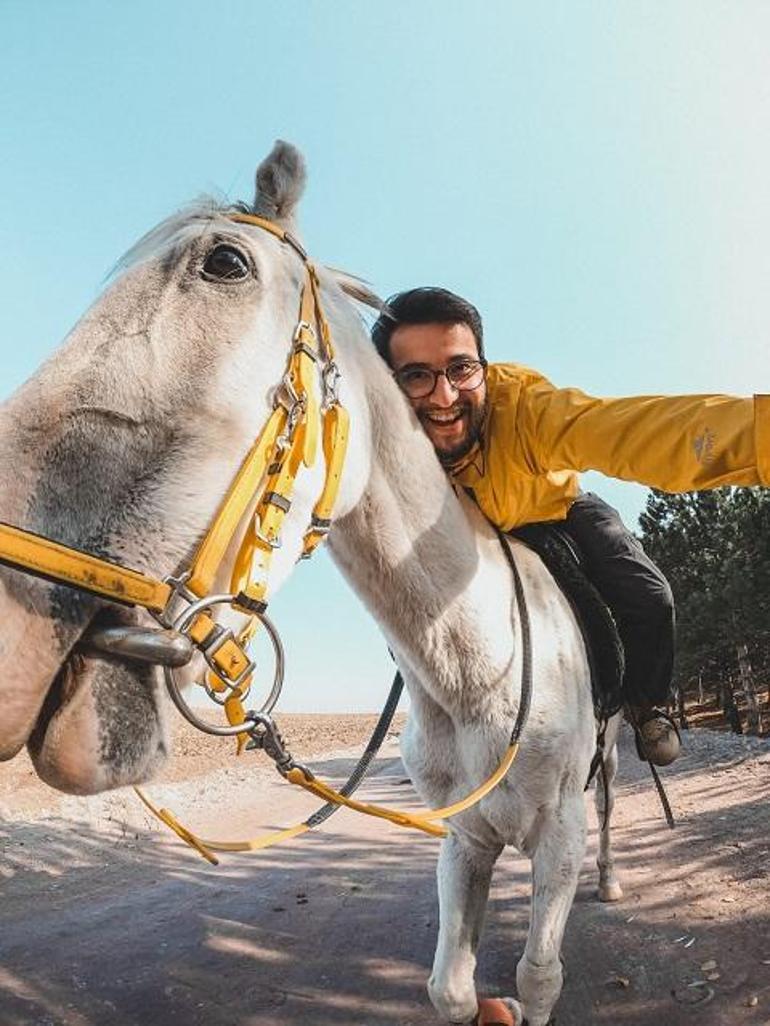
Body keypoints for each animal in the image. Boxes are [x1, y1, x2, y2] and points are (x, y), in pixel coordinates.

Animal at [0, 142, 624, 1026]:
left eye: (225, 263)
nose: (11, 641)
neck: (481, 673)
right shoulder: (465, 838)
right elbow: (450, 986)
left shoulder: (555, 840)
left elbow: (539, 977)